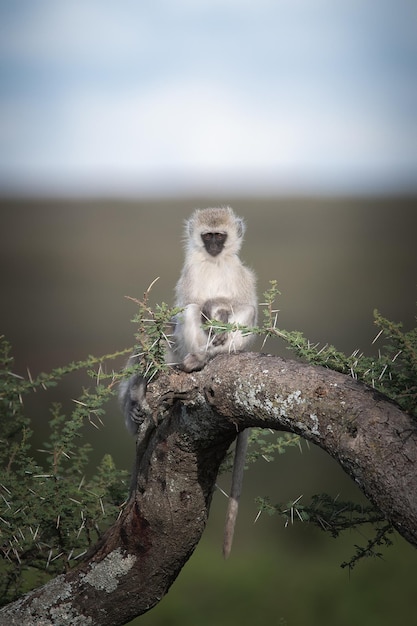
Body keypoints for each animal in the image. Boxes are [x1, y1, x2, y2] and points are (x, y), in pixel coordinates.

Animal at [120, 206, 256, 556]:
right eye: (208, 236)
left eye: (220, 236)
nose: (214, 246)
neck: (215, 263)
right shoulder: (191, 272)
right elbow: (189, 305)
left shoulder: (239, 273)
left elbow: (245, 306)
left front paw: (222, 322)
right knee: (192, 311)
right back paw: (194, 359)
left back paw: (214, 352)